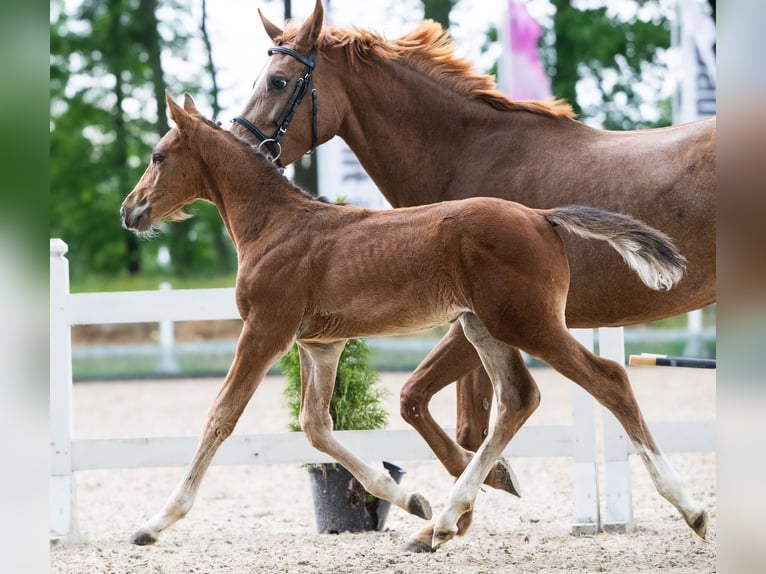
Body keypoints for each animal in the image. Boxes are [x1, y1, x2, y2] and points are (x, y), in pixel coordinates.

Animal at [120, 92, 704, 551]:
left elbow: (221, 417)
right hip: (482, 327)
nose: (131, 209)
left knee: (610, 379)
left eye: (158, 155)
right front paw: (411, 498)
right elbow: (317, 427)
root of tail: (543, 217)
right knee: (518, 398)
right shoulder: (319, 345)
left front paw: (154, 523)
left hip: (529, 324)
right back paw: (443, 522)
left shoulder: (265, 330)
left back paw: (691, 508)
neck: (276, 225)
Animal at [232, 0, 715, 549]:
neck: (470, 155)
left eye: (279, 81)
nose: (242, 145)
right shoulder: (473, 320)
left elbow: (424, 401)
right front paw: (461, 504)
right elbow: (453, 413)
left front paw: (461, 503)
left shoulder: (481, 321)